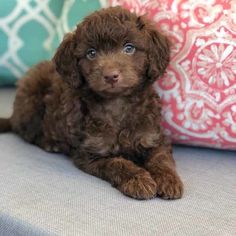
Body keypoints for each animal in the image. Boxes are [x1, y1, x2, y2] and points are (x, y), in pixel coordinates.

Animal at [0, 6, 183, 199]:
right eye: (91, 53)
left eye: (129, 48)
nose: (110, 76)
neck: (117, 103)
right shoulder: (91, 153)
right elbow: (117, 163)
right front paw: (138, 180)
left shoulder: (154, 137)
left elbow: (160, 158)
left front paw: (168, 180)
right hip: (31, 100)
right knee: (28, 132)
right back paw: (51, 144)